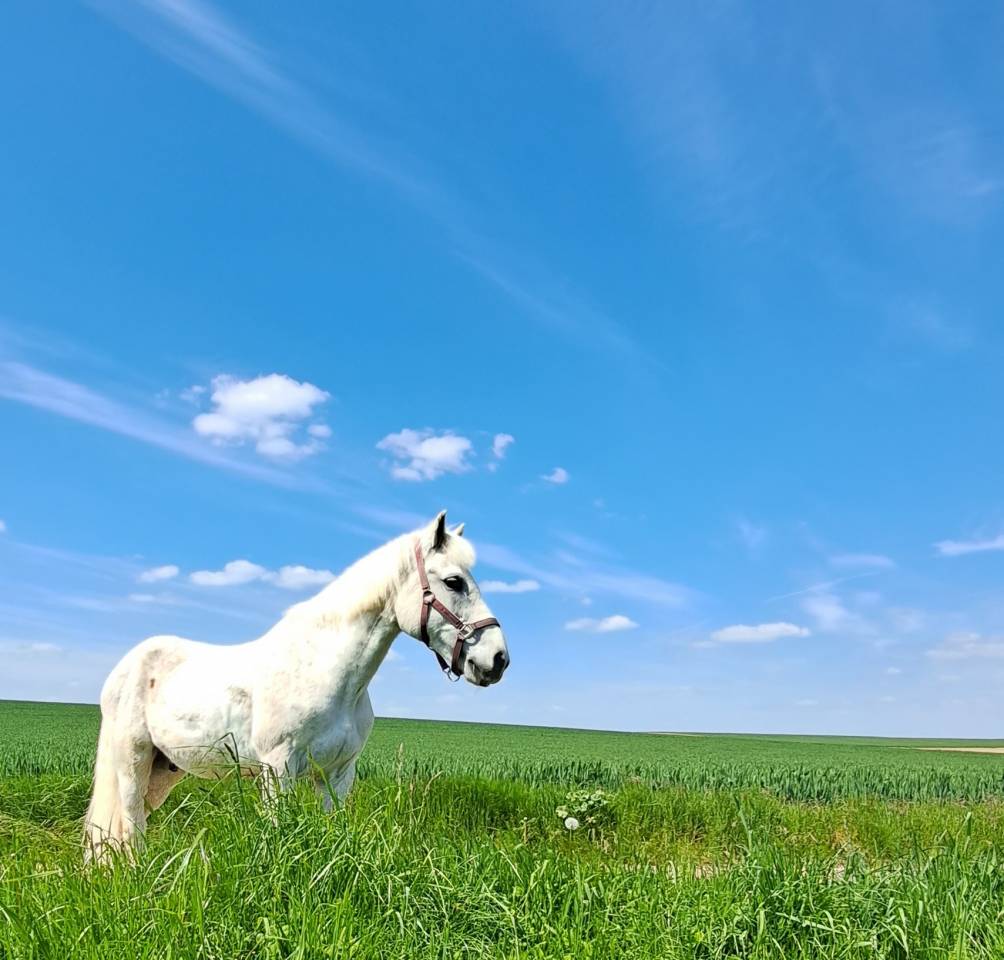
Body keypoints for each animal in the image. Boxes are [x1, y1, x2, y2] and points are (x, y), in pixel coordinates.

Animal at [83, 511, 509, 862]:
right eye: (454, 582)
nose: (497, 660)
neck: (326, 674)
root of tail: (123, 669)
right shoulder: (278, 770)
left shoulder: (338, 774)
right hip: (132, 762)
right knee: (130, 829)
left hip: (163, 771)